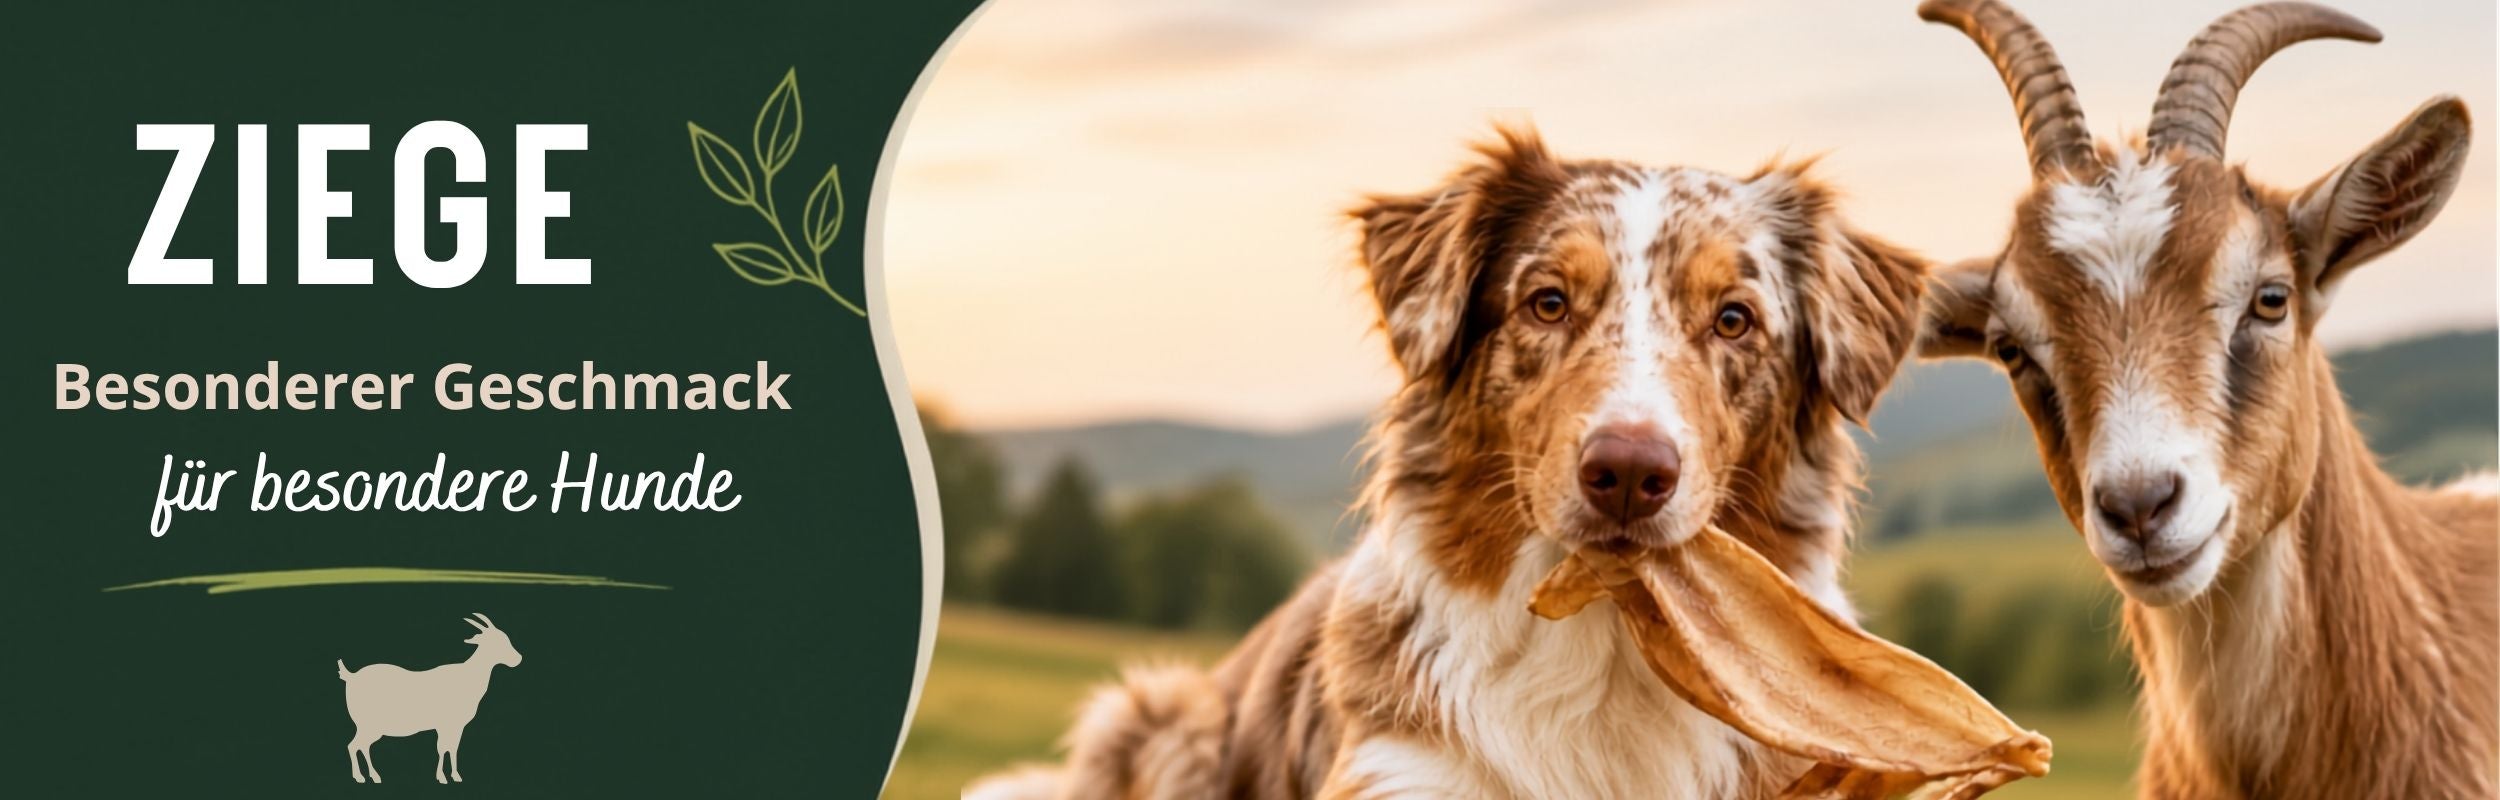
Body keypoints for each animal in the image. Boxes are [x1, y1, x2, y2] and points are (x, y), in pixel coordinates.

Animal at [339, 612, 525, 784]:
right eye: (496, 641)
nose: (518, 658)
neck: (466, 678)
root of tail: (351, 676)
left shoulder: (455, 726)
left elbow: (452, 748)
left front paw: (455, 776)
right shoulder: (445, 724)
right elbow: (443, 748)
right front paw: (442, 777)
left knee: (362, 745)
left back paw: (373, 776)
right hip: (369, 725)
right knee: (354, 745)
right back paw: (362, 777)